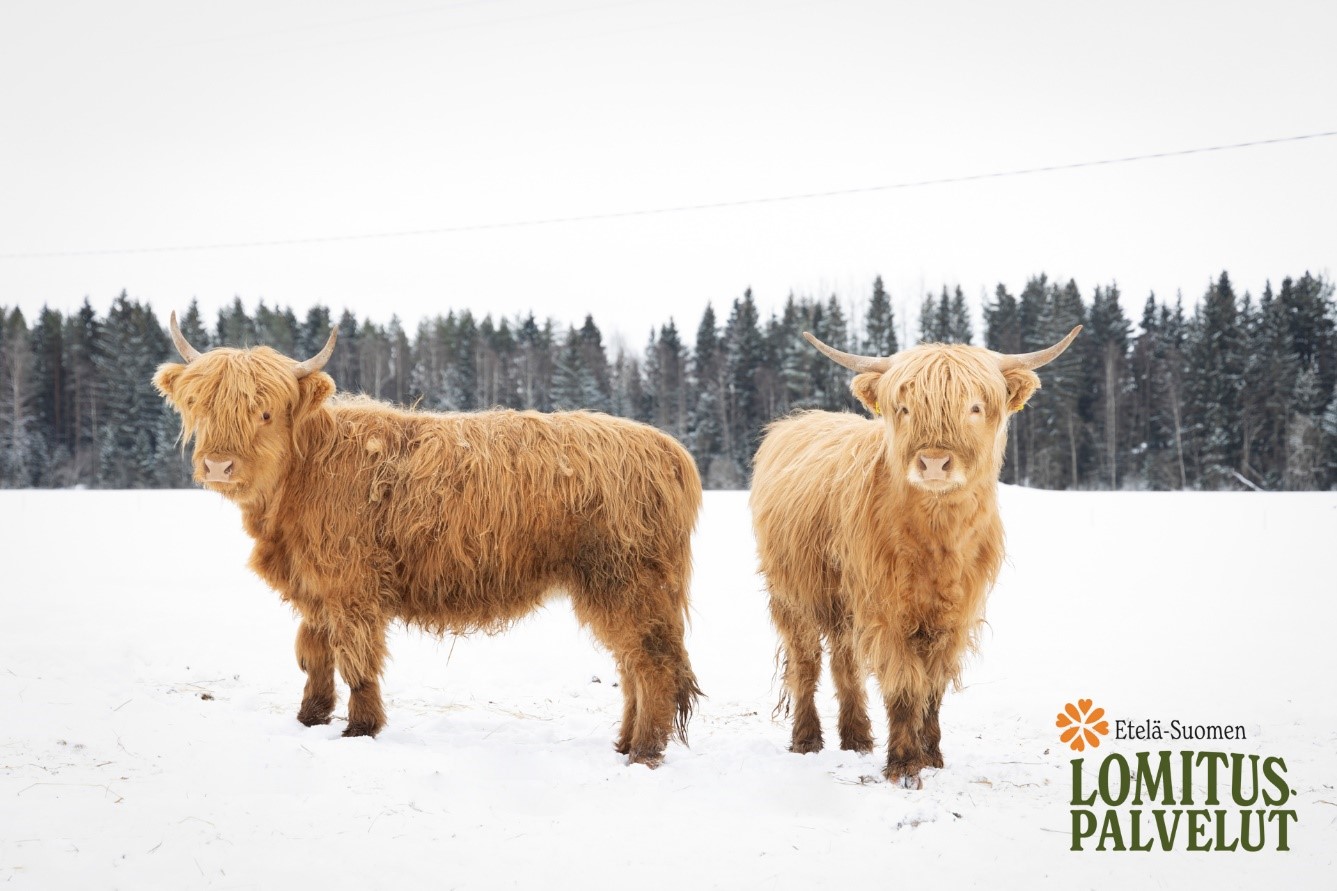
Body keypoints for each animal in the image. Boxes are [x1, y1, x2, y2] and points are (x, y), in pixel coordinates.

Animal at [153, 315, 705, 765]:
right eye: (201, 407)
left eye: (265, 413)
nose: (219, 465)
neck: (301, 476)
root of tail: (667, 449)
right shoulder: (315, 586)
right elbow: (314, 655)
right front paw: (310, 717)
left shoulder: (352, 585)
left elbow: (356, 658)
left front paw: (360, 729)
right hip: (620, 589)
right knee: (631, 665)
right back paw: (624, 743)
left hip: (626, 582)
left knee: (651, 665)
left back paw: (644, 753)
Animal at [754, 326, 1074, 786]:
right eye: (904, 408)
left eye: (974, 406)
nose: (934, 462)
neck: (937, 540)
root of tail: (798, 420)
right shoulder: (885, 609)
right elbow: (906, 685)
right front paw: (904, 763)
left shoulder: (954, 615)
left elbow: (933, 687)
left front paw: (933, 755)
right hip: (795, 596)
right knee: (806, 664)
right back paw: (807, 740)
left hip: (844, 603)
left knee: (846, 664)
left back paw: (856, 738)